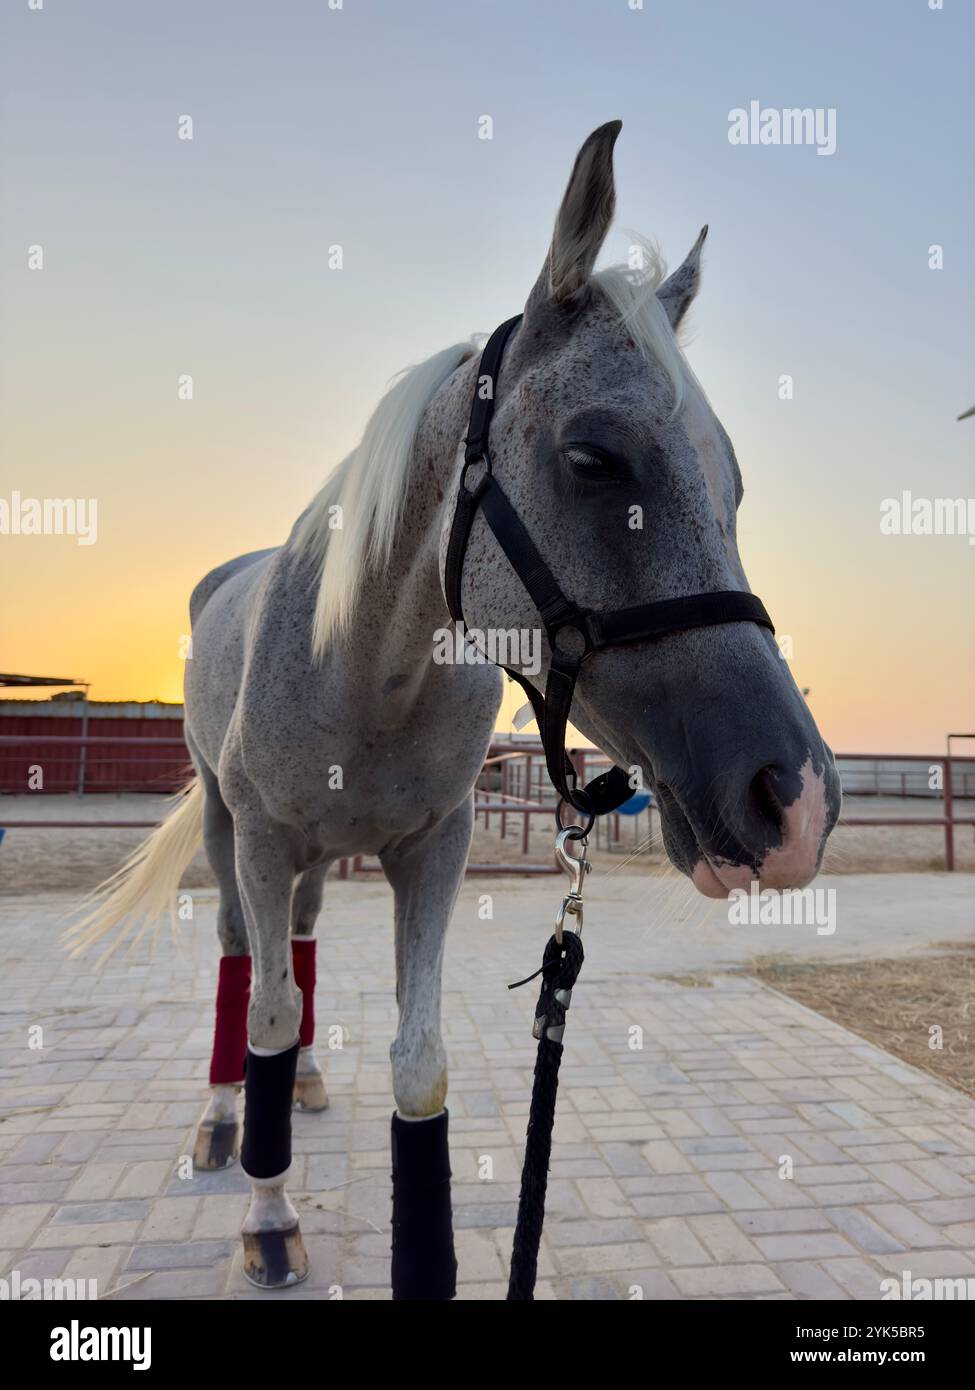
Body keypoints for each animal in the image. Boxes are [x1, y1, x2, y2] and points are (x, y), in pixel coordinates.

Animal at [69, 120, 841, 1294]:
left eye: (735, 489)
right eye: (593, 458)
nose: (792, 800)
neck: (366, 669)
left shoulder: (433, 849)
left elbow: (416, 1063)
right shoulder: (262, 841)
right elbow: (266, 1009)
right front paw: (267, 1213)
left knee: (300, 945)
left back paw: (298, 1091)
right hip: (227, 829)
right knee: (243, 963)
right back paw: (224, 1126)